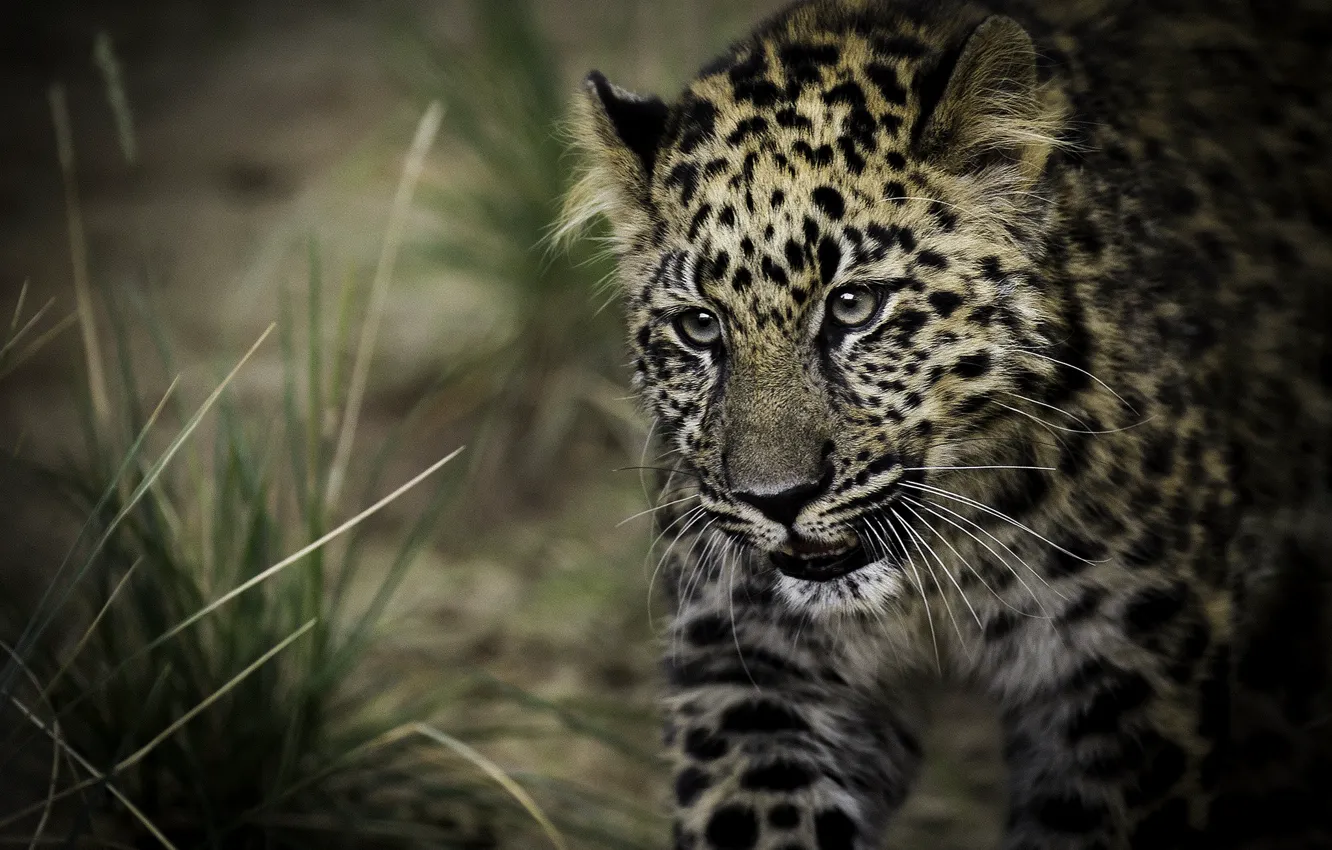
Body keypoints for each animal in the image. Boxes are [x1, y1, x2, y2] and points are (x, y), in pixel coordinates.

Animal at [562, 0, 1332, 847]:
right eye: (699, 326)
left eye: (854, 306)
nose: (778, 499)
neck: (938, 569)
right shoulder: (747, 654)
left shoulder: (1127, 669)